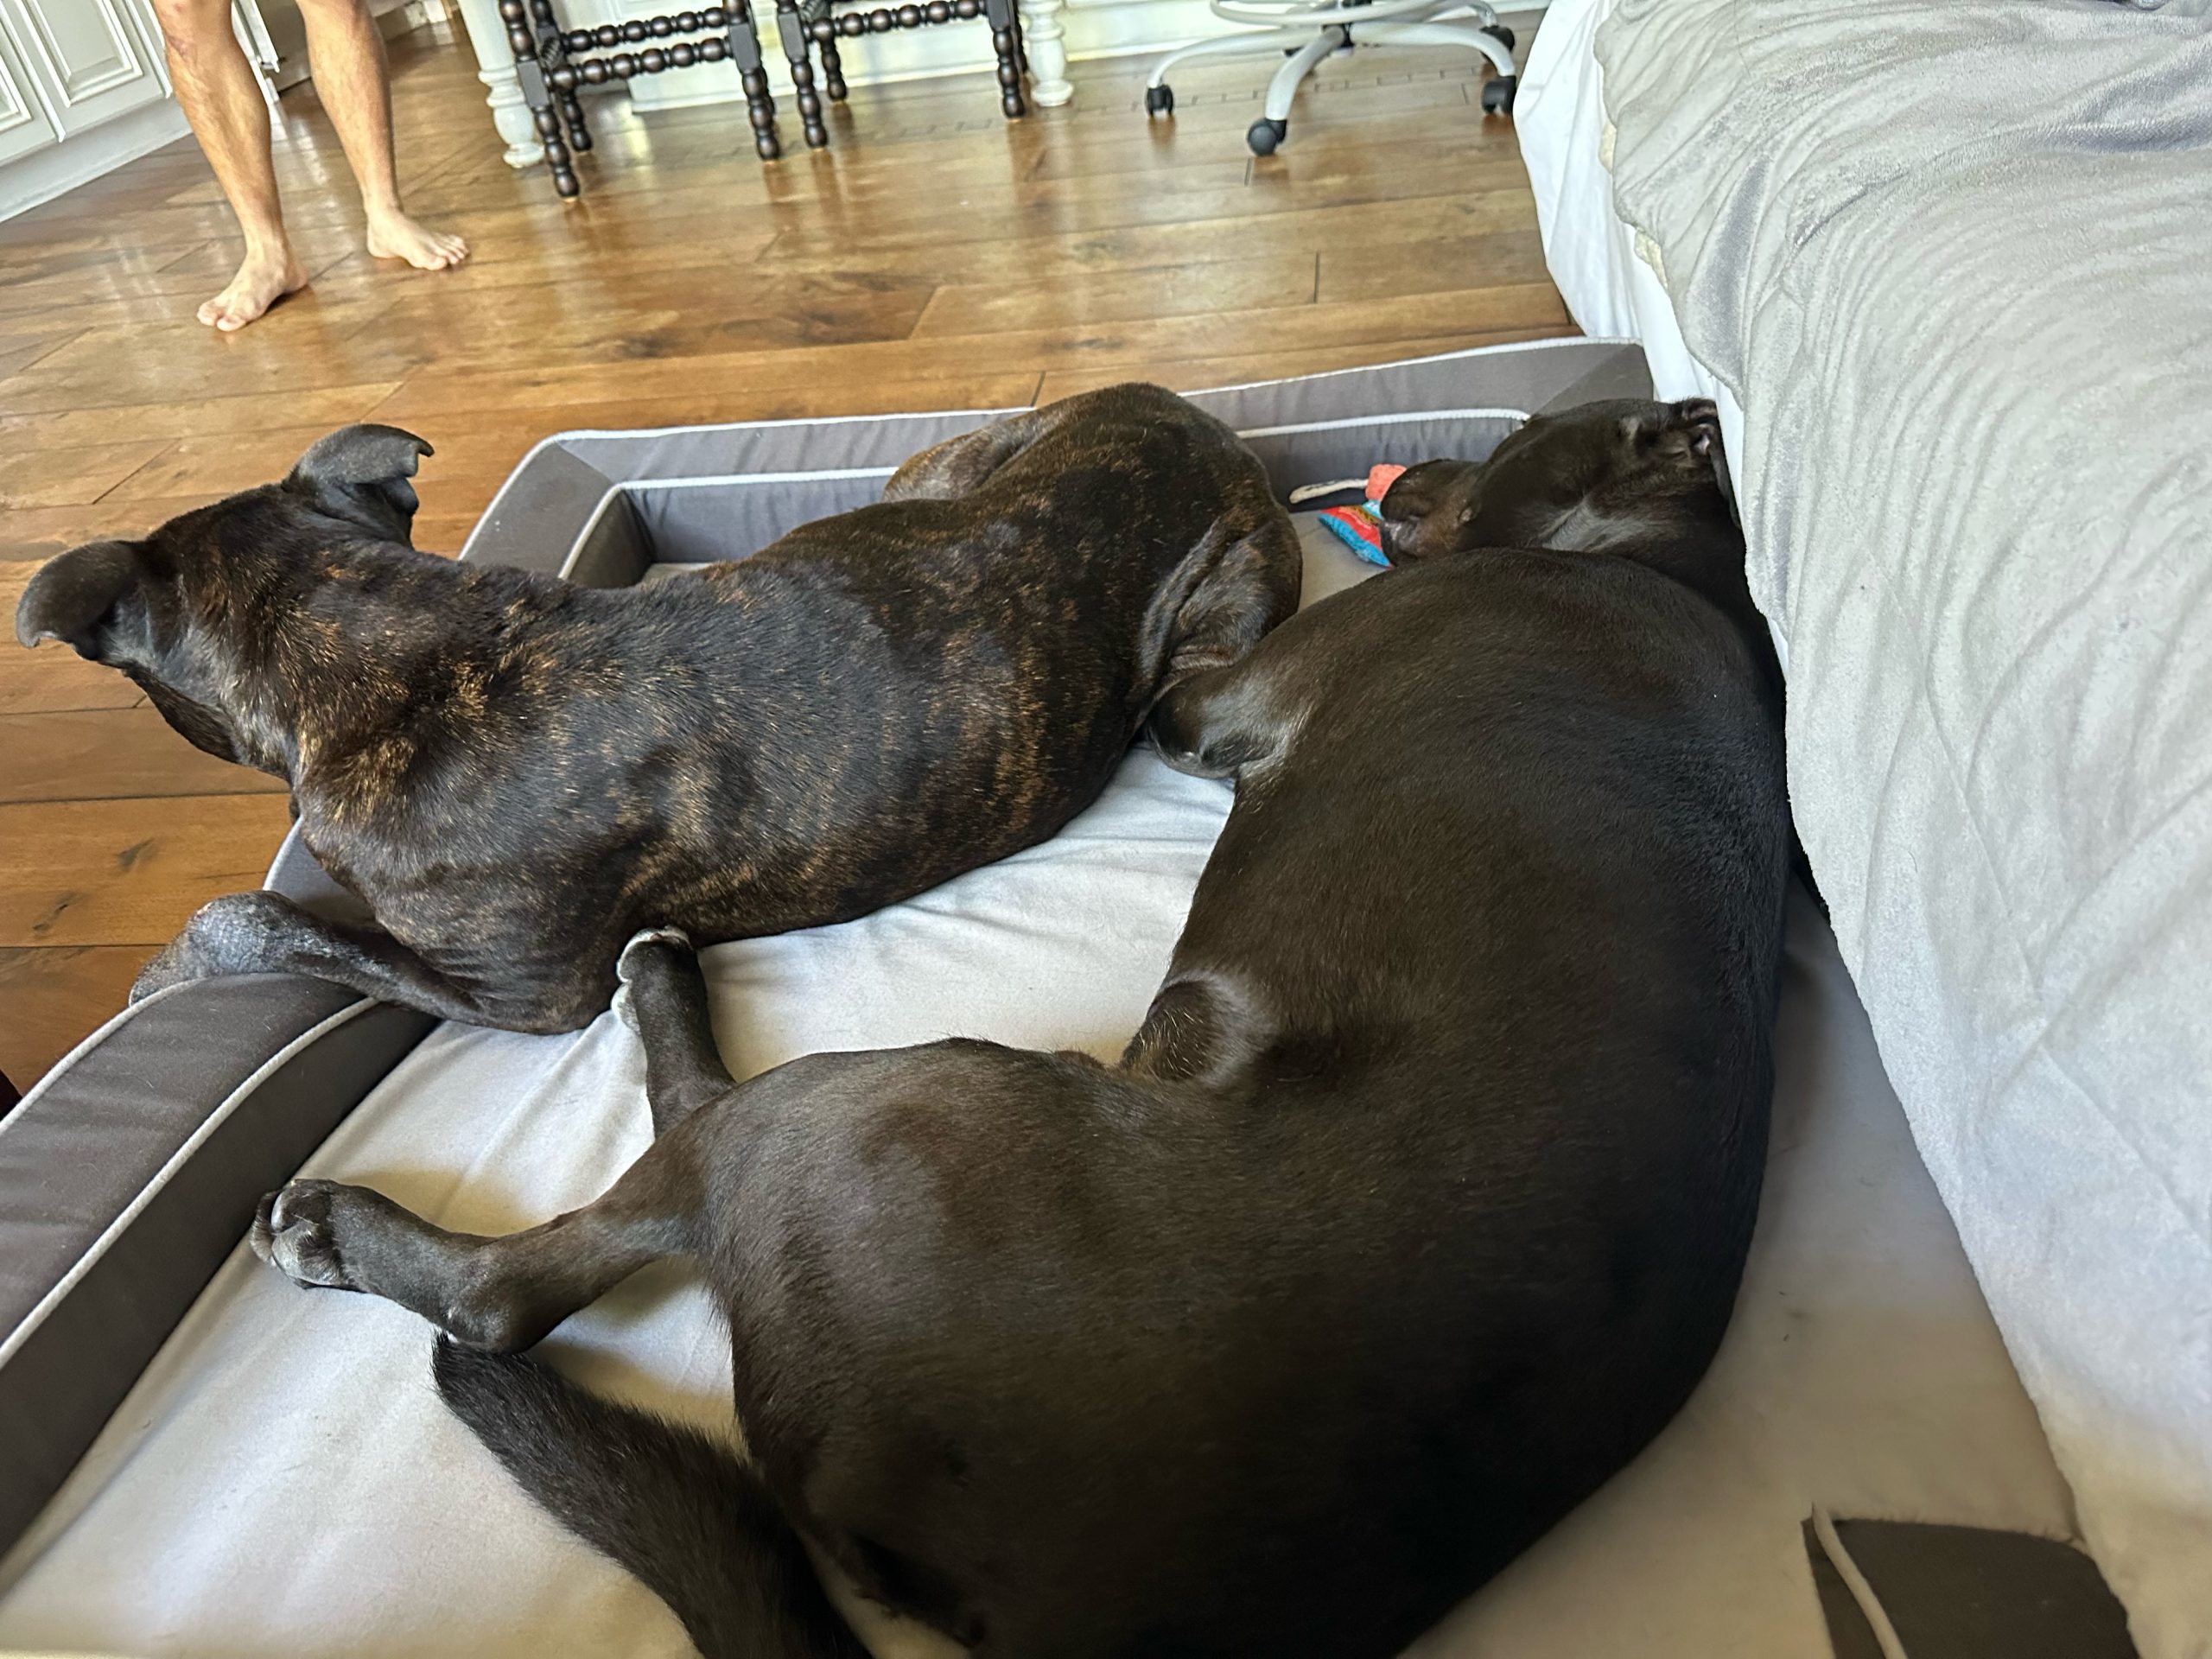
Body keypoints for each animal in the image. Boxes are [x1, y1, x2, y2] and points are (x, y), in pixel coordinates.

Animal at [17, 393, 1292, 1039]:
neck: (386, 641)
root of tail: (1186, 414)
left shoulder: (522, 997)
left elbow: (270, 920)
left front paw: (168, 972)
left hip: (1199, 653)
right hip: (934, 475)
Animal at [251, 396, 1787, 1654]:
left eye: (1518, 433)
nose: (1404, 470)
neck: (1657, 566)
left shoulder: (1206, 702)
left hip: (866, 1110)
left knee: (545, 1267)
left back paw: (404, 1186)